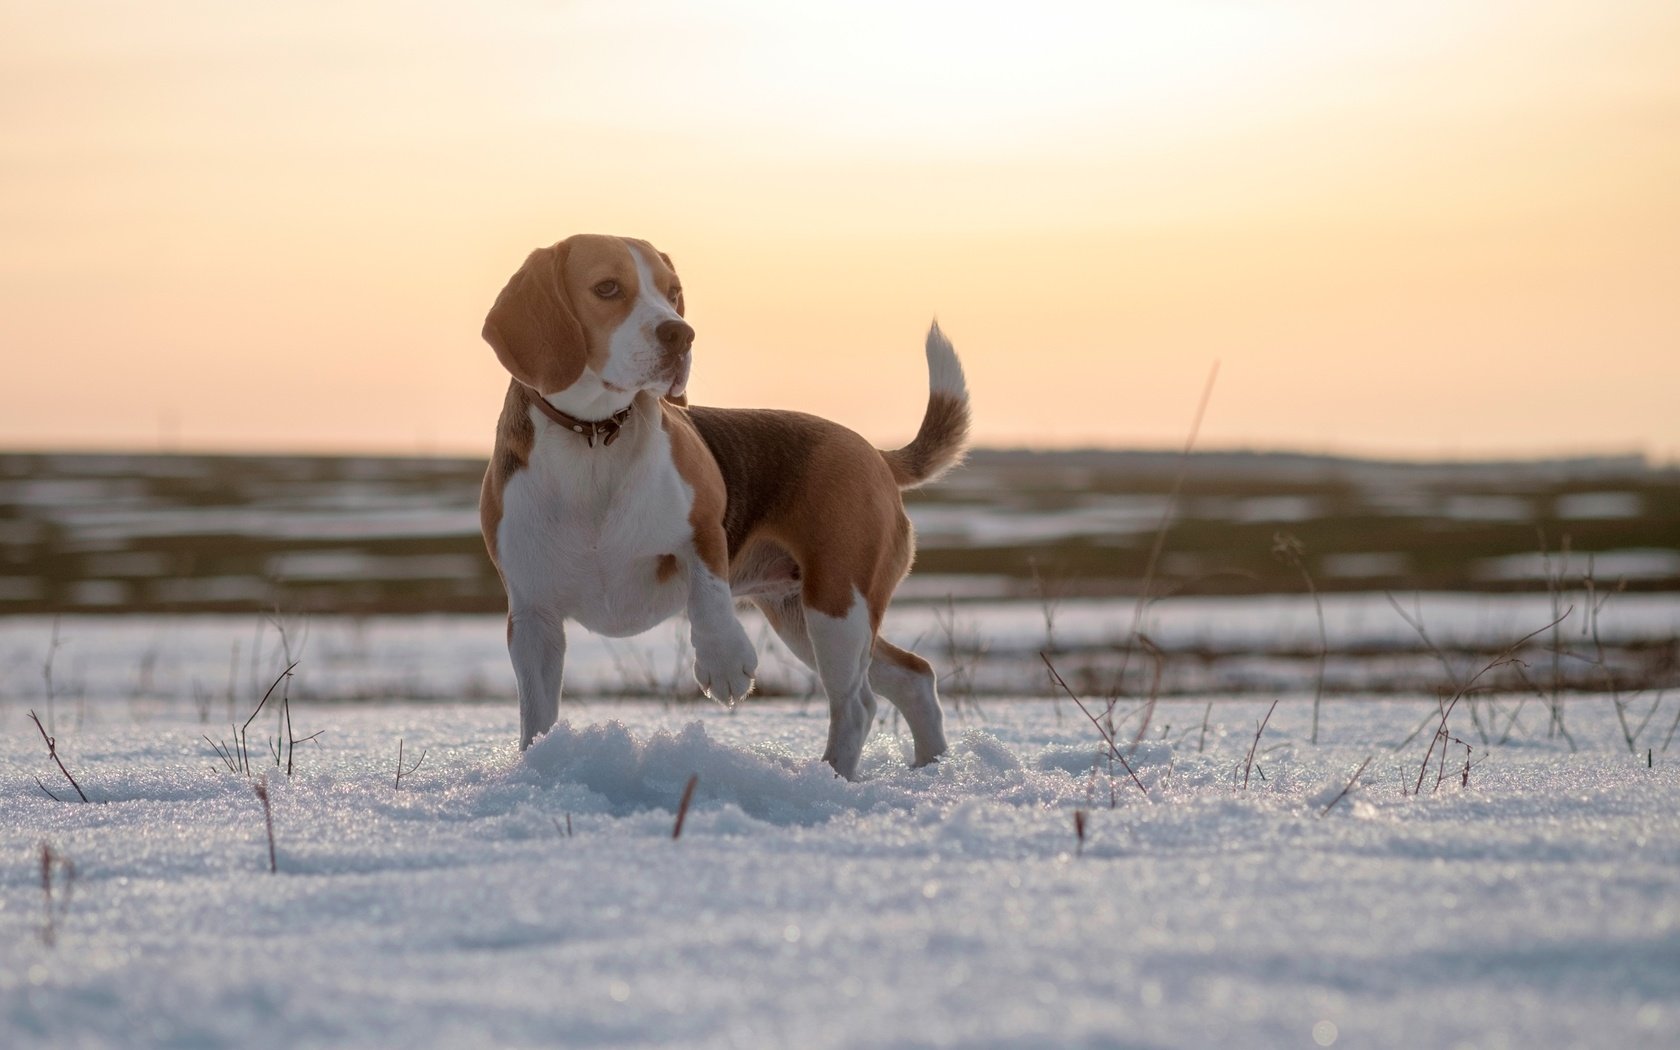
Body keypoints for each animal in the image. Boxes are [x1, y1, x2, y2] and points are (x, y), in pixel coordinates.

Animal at [480, 236, 967, 779]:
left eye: (673, 293)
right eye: (607, 288)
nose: (681, 333)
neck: (594, 438)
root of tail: (872, 450)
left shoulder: (703, 527)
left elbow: (707, 588)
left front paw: (725, 663)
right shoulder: (533, 616)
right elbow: (537, 713)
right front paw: (539, 768)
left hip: (838, 603)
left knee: (858, 703)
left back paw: (831, 779)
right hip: (804, 615)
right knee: (913, 676)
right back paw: (931, 770)